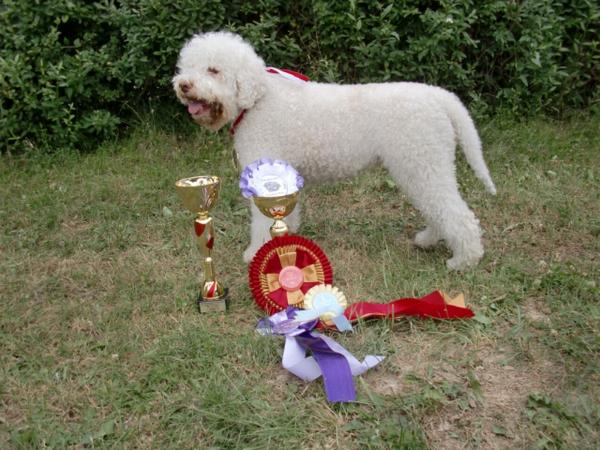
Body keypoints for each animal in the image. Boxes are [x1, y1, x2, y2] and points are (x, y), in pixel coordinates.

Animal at [171, 33, 494, 270]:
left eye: (214, 70)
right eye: (186, 68)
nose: (184, 85)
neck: (258, 100)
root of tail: (440, 97)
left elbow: (262, 222)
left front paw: (256, 253)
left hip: (422, 163)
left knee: (456, 213)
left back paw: (463, 261)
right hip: (423, 166)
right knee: (439, 208)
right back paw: (429, 239)